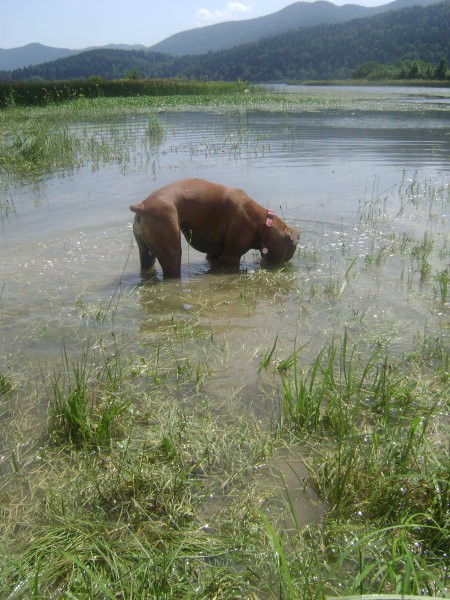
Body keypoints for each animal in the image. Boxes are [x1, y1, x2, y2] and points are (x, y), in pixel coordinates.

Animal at [129, 178, 298, 278]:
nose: (282, 267)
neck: (263, 223)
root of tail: (143, 206)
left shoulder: (214, 255)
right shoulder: (231, 257)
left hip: (146, 253)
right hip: (171, 254)